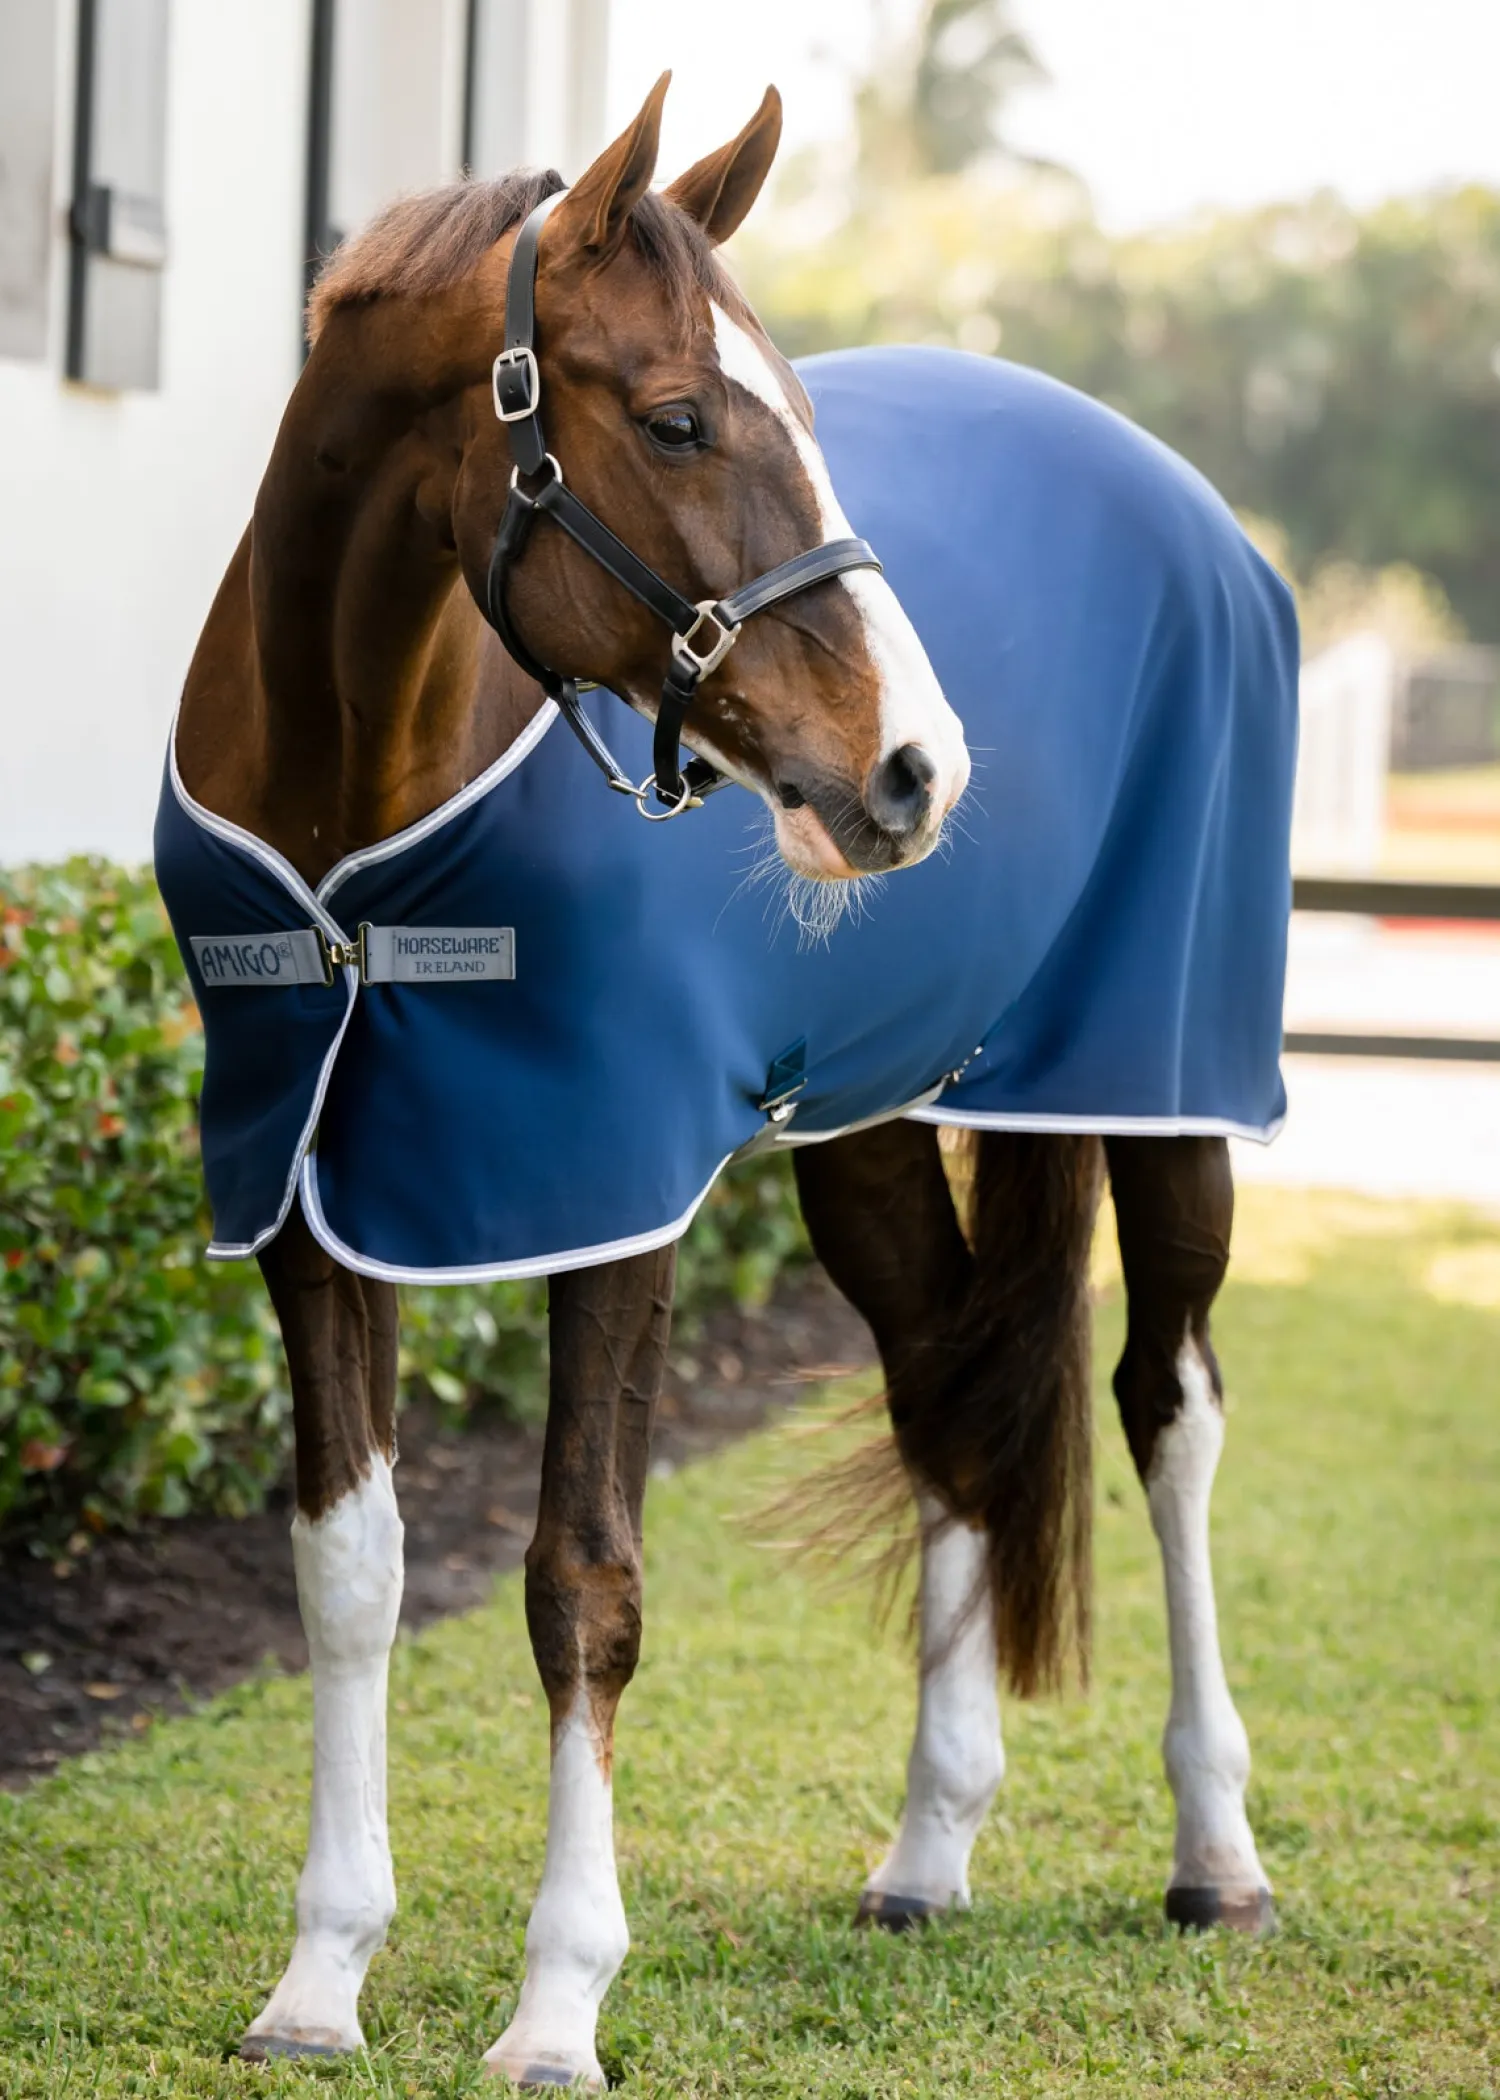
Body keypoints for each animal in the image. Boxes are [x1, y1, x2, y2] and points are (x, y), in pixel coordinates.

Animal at [160, 73, 1295, 2090]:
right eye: (678, 416)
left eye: (808, 423)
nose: (917, 769)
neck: (353, 796)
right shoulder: (311, 1194)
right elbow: (348, 1570)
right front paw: (319, 1976)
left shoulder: (606, 1181)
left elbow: (581, 1582)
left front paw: (556, 2001)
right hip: (871, 1132)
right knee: (950, 1391)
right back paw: (927, 1850)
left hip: (1171, 1097)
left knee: (1169, 1410)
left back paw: (1215, 1853)